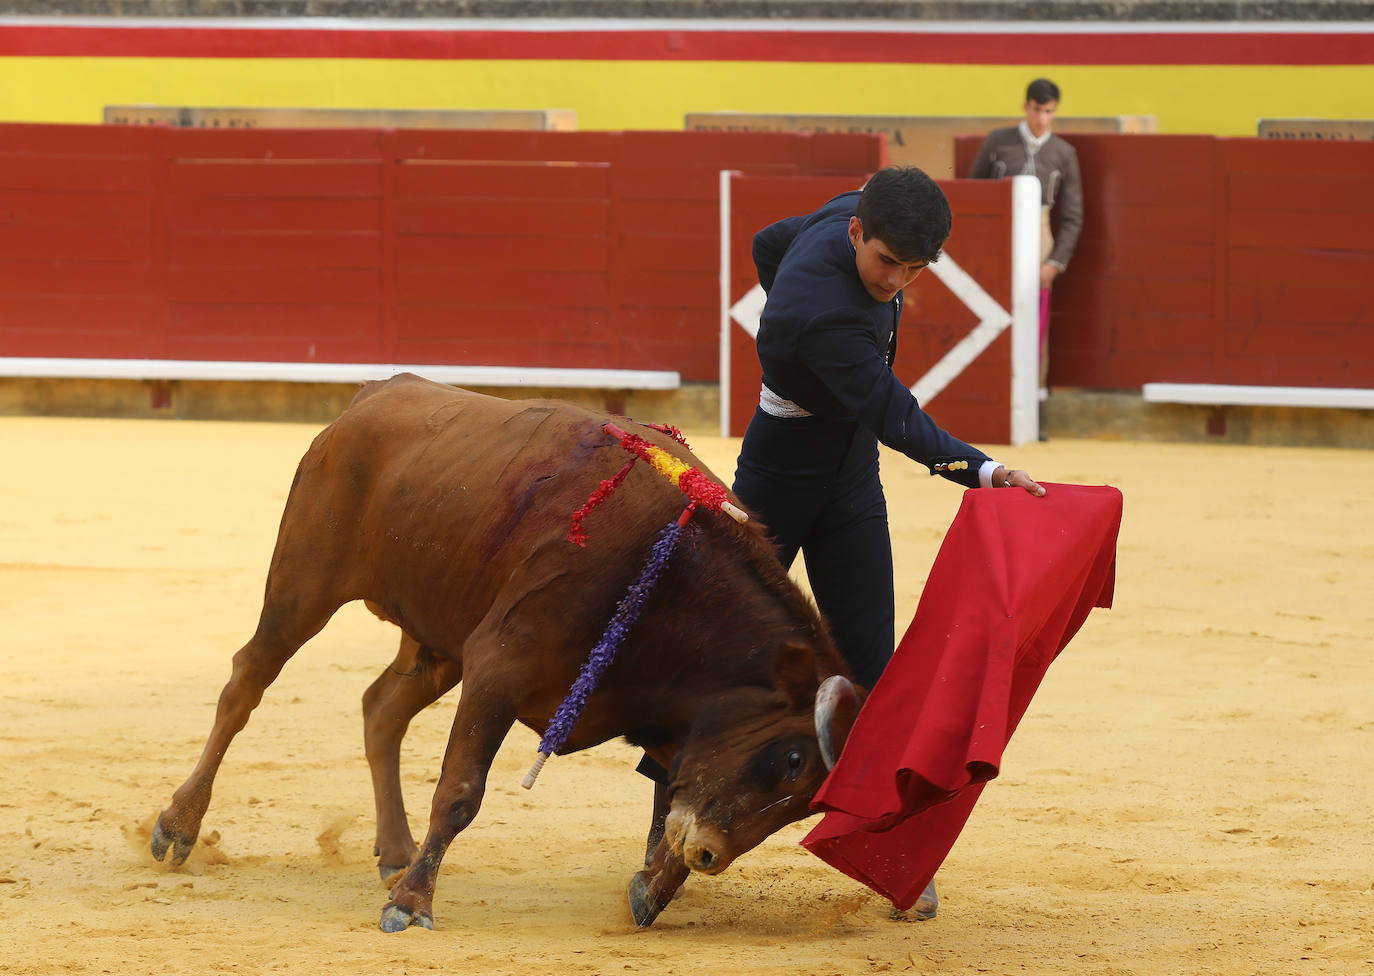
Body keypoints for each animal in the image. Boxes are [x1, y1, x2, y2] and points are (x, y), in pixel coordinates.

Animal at [150, 373, 857, 934]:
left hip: (438, 637)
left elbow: (667, 805)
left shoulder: (670, 721)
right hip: (305, 583)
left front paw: (652, 891)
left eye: (811, 802)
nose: (711, 855)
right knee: (247, 682)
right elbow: (461, 790)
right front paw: (411, 906)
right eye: (793, 759)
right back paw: (178, 827)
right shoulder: (499, 666)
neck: (674, 580)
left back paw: (395, 851)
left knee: (381, 707)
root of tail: (374, 393)